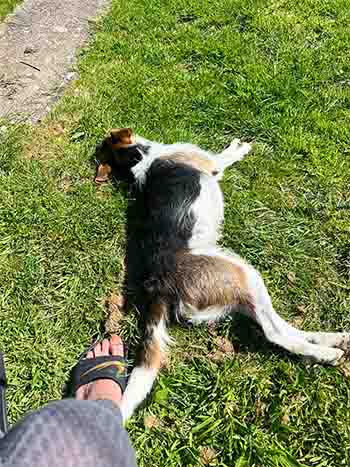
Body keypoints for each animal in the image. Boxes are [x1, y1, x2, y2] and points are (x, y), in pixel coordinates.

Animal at [95, 129, 350, 424]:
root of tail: (160, 285)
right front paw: (240, 147)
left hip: (236, 291)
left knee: (280, 325)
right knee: (275, 332)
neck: (140, 158)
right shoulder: (211, 163)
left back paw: (333, 340)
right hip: (243, 272)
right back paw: (327, 353)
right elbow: (226, 155)